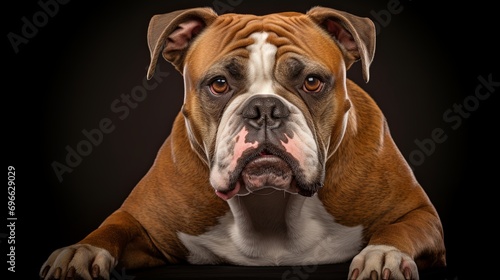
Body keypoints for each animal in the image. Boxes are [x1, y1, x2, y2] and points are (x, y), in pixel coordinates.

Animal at [40, 6, 446, 280]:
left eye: (312, 81)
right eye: (219, 84)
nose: (264, 108)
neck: (269, 204)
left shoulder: (420, 213)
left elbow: (399, 228)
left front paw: (383, 255)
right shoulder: (142, 222)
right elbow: (111, 227)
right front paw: (78, 252)